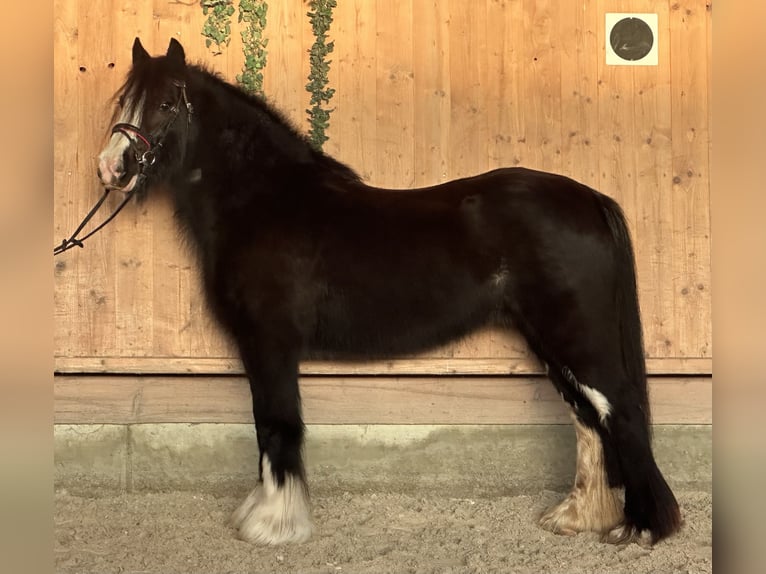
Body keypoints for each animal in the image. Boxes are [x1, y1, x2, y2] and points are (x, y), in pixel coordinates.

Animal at [96, 37, 682, 546]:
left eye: (166, 102)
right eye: (124, 100)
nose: (111, 167)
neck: (266, 202)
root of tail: (589, 199)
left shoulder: (269, 343)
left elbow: (276, 425)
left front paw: (273, 524)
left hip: (578, 337)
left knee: (620, 411)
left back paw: (642, 528)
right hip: (549, 340)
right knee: (588, 419)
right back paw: (576, 517)